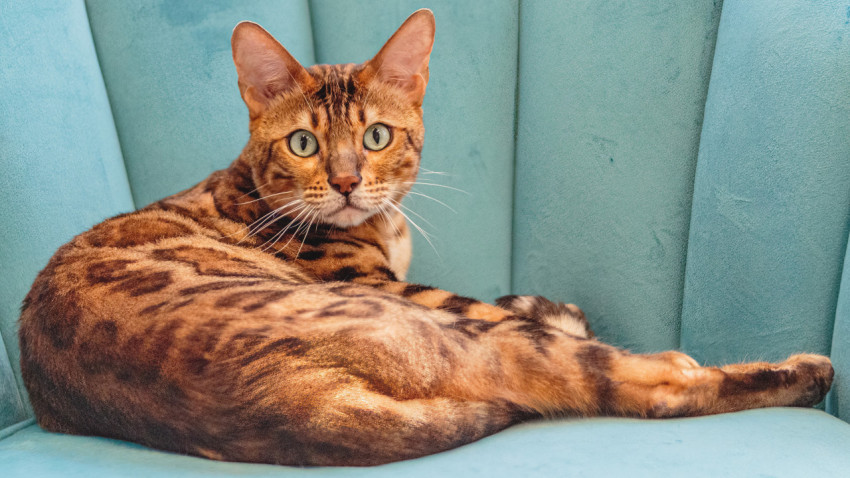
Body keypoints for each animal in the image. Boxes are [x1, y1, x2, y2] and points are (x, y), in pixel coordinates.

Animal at [18, 10, 828, 466]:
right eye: (305, 143)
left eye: (377, 136)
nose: (347, 182)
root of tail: (297, 405)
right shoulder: (410, 290)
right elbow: (517, 311)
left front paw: (547, 299)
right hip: (458, 336)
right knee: (652, 384)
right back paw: (799, 371)